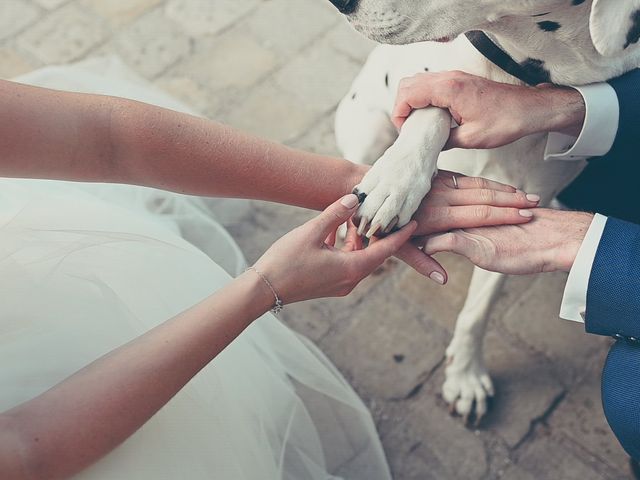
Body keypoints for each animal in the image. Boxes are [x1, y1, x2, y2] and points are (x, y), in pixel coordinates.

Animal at [328, 0, 640, 422]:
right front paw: (398, 177)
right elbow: (435, 104)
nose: (338, 3)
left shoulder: (520, 209)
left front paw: (465, 375)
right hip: (369, 129)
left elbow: (479, 309)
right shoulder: (433, 86)